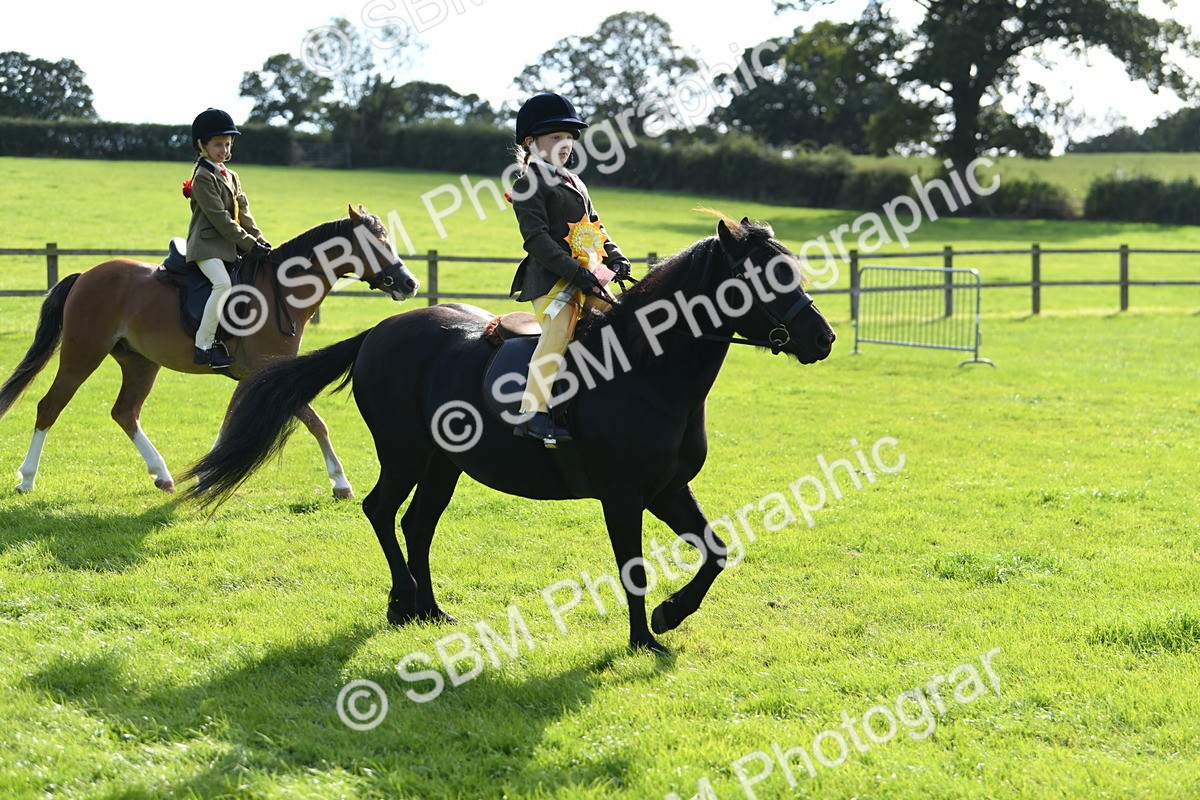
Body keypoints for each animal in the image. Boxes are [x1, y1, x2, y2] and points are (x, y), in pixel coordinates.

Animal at [0, 205, 419, 496]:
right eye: (375, 244)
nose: (409, 283)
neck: (282, 291)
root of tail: (86, 275)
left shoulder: (252, 376)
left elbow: (229, 424)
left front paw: (204, 474)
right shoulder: (268, 373)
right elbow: (317, 422)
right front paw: (340, 482)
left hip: (140, 363)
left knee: (125, 412)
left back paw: (163, 476)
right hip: (82, 354)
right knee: (49, 407)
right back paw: (26, 479)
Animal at [182, 215, 835, 653]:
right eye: (766, 277)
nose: (823, 338)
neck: (648, 371)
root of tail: (378, 332)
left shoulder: (670, 490)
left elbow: (717, 550)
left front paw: (670, 617)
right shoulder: (624, 497)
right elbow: (633, 567)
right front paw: (644, 638)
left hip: (443, 464)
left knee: (417, 524)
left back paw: (429, 609)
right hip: (405, 454)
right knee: (381, 510)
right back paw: (402, 602)